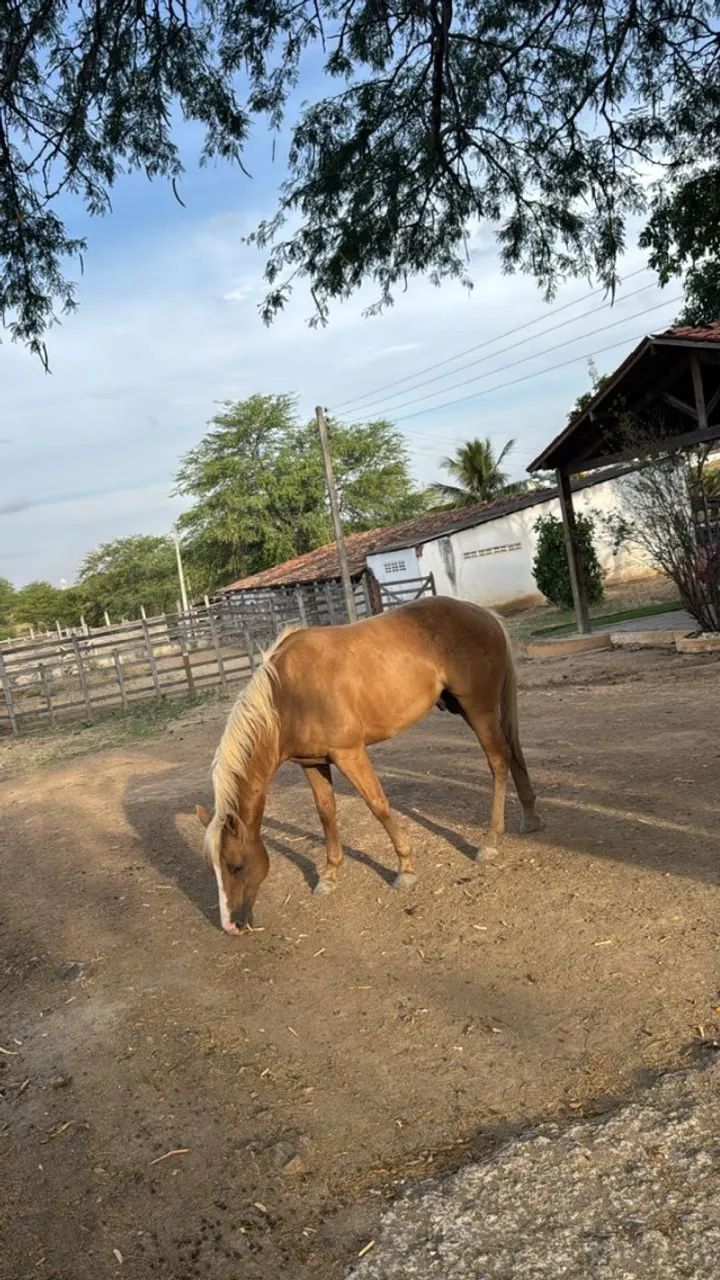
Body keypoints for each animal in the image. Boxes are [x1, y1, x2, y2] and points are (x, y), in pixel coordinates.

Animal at [196, 596, 542, 934]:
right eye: (213, 869)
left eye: (236, 866)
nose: (231, 925)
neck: (286, 696)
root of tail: (484, 613)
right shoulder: (312, 763)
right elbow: (326, 812)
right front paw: (330, 875)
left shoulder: (349, 753)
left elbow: (378, 805)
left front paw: (405, 868)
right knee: (514, 751)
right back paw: (530, 817)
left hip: (479, 709)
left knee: (498, 760)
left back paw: (491, 840)